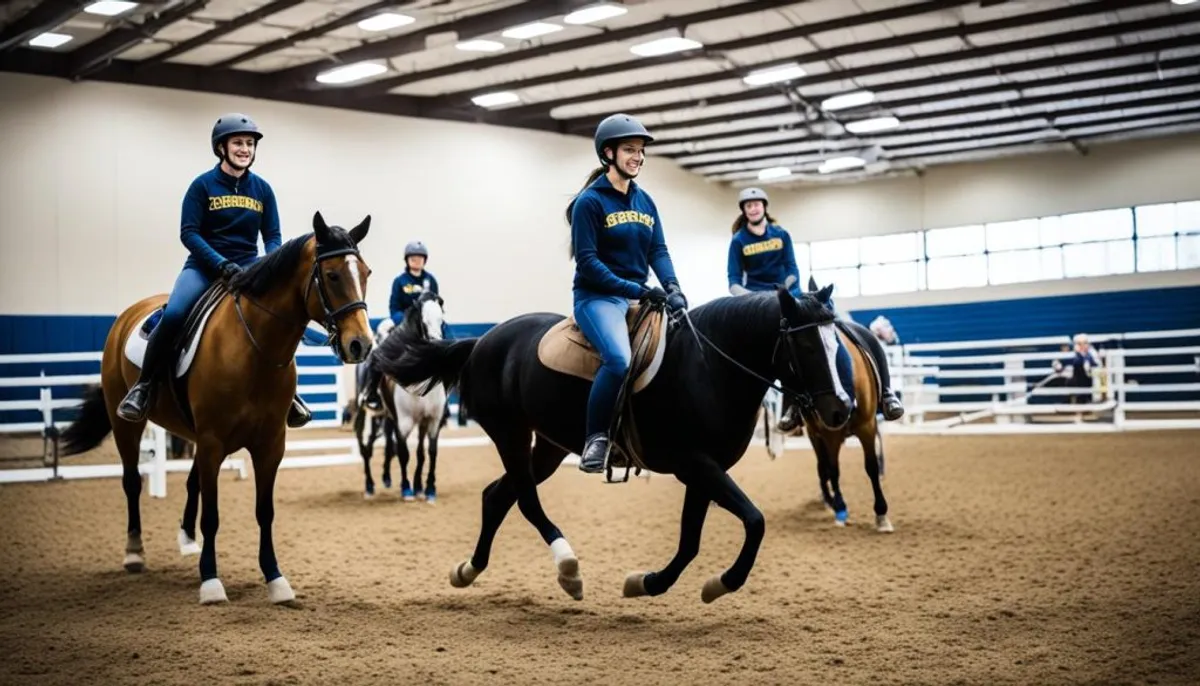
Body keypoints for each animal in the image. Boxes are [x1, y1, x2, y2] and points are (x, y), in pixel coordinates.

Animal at [56, 213, 372, 604]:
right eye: (332, 276)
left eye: (366, 273)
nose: (361, 345)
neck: (254, 349)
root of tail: (127, 315)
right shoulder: (212, 440)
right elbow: (212, 515)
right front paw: (210, 582)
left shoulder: (270, 445)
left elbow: (264, 511)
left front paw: (275, 579)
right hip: (127, 425)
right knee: (132, 481)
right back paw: (134, 553)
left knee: (192, 483)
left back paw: (186, 539)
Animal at [372, 286, 844, 602]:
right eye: (806, 345)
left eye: (836, 342)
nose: (839, 410)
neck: (708, 366)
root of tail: (481, 341)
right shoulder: (693, 463)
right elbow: (754, 521)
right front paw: (719, 584)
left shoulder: (704, 469)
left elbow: (691, 541)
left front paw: (647, 583)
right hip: (510, 432)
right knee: (525, 500)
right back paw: (568, 569)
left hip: (549, 446)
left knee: (497, 496)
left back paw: (468, 570)